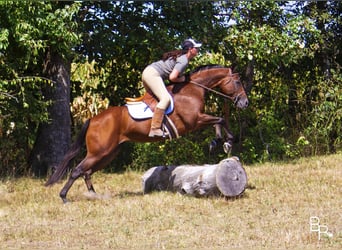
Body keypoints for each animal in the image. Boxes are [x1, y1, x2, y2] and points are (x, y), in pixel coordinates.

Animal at [45, 65, 248, 203]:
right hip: (99, 152)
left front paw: (219, 142)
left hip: (109, 153)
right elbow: (220, 119)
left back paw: (94, 195)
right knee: (77, 170)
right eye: (238, 82)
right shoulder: (194, 121)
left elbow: (219, 121)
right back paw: (64, 197)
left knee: (86, 171)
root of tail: (93, 119)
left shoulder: (199, 119)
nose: (245, 103)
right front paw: (227, 141)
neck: (192, 90)